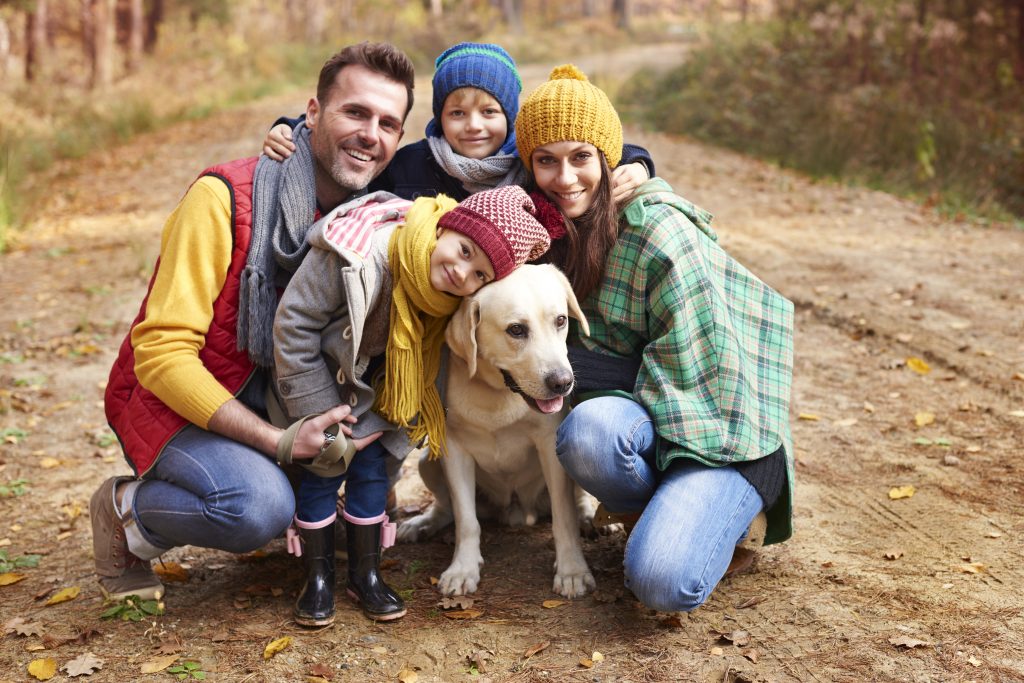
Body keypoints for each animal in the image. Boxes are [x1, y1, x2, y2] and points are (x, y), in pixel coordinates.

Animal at [397, 266, 598, 598]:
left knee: (577, 499)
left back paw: (589, 517)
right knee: (447, 508)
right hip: (429, 462)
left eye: (560, 320)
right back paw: (422, 523)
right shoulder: (454, 449)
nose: (563, 382)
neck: (498, 393)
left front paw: (572, 570)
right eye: (516, 330)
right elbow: (466, 520)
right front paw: (463, 568)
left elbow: (563, 516)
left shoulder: (550, 444)